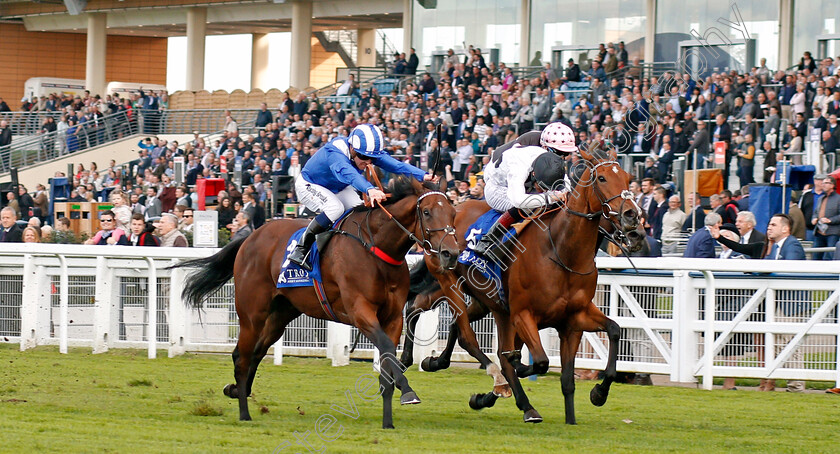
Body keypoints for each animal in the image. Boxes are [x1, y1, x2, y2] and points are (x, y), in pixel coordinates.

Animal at [173, 177, 456, 430]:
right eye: (427, 212)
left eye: (453, 212)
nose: (450, 253)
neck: (376, 248)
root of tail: (251, 236)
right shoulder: (360, 311)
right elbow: (386, 348)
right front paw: (407, 390)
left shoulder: (393, 316)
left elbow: (388, 360)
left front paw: (388, 420)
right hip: (252, 313)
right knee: (243, 356)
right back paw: (244, 413)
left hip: (280, 315)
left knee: (254, 352)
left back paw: (234, 389)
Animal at [402, 144, 644, 424]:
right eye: (602, 178)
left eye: (627, 178)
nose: (634, 221)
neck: (562, 251)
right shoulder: (522, 314)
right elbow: (536, 361)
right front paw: (513, 371)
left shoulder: (574, 320)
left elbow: (610, 334)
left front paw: (595, 396)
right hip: (450, 282)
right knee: (453, 327)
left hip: (484, 300)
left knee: (435, 315)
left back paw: (434, 364)